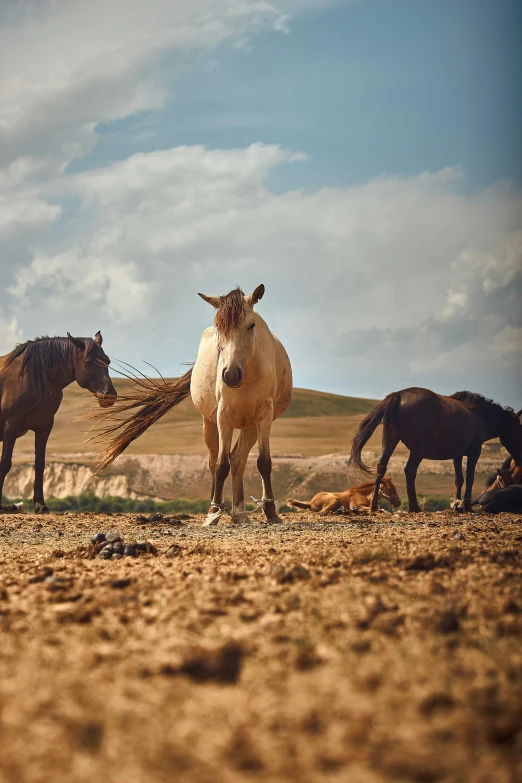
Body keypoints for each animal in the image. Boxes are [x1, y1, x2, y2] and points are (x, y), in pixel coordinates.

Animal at [0, 336, 116, 516]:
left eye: (107, 361)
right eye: (88, 361)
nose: (109, 395)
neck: (30, 378)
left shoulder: (44, 427)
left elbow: (39, 464)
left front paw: (40, 505)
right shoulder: (10, 426)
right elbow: (5, 463)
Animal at [193, 284, 292, 524]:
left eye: (251, 325)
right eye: (218, 327)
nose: (230, 374)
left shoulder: (264, 416)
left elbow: (264, 462)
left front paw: (271, 512)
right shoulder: (223, 416)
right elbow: (221, 465)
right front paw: (214, 513)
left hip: (250, 426)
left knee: (238, 460)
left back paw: (239, 512)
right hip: (209, 423)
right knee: (214, 461)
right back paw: (218, 508)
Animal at [348, 388, 522, 516]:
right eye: (518, 430)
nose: (519, 459)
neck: (479, 416)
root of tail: (399, 394)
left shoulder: (457, 455)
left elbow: (459, 479)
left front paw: (457, 506)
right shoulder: (474, 451)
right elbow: (470, 477)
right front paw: (466, 506)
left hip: (390, 440)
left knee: (381, 467)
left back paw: (374, 506)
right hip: (416, 450)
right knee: (409, 471)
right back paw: (414, 507)